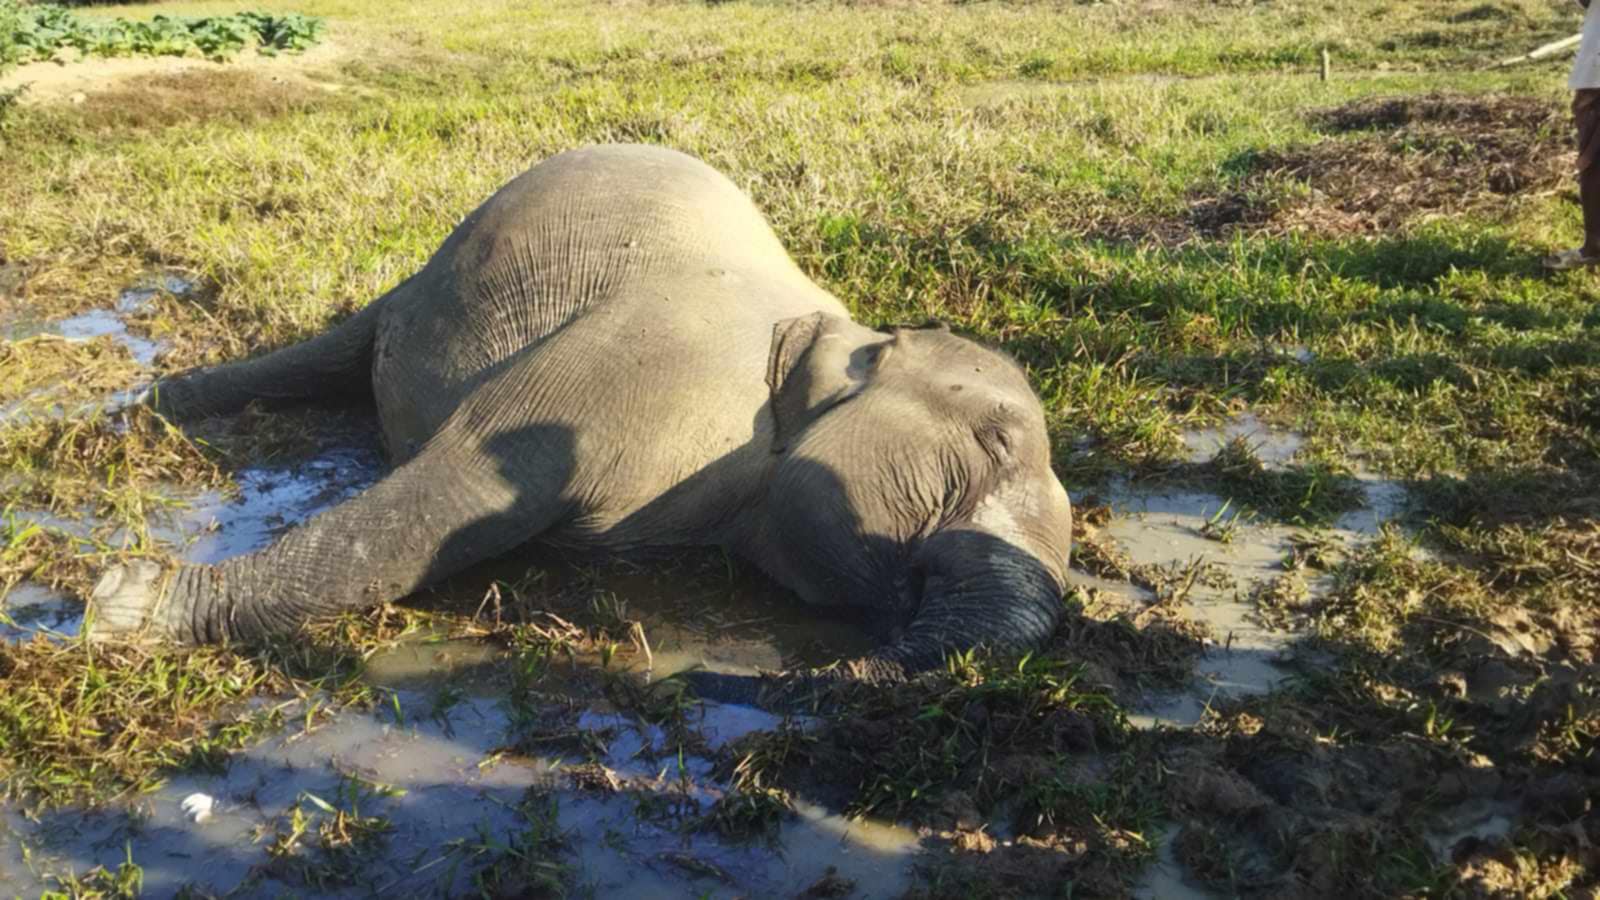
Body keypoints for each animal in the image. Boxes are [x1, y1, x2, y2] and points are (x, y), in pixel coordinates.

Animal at [93, 143, 1081, 682]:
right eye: (995, 443)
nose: (837, 663)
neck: (830, 327)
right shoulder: (646, 360)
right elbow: (465, 489)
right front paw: (123, 609)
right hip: (424, 277)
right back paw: (143, 414)